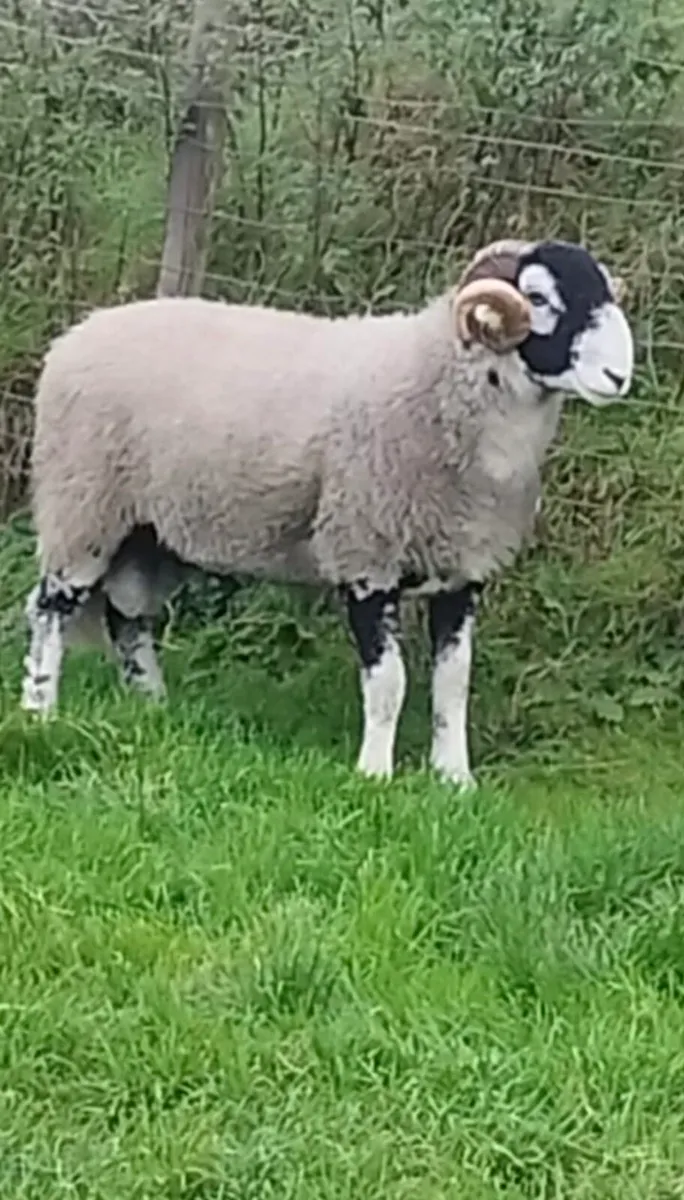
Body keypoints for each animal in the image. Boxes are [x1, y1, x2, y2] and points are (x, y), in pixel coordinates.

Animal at [20, 237, 634, 787]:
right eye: (539, 298)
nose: (619, 377)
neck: (439, 379)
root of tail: (77, 334)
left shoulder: (462, 569)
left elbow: (453, 683)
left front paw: (454, 778)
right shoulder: (365, 556)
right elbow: (388, 681)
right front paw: (374, 774)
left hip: (148, 531)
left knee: (128, 616)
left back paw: (152, 708)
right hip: (83, 507)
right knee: (50, 609)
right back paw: (39, 712)